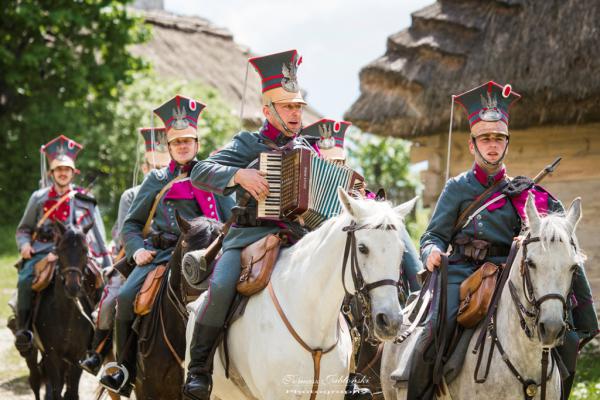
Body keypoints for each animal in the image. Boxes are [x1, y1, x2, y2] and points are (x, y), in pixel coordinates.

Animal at [24, 222, 102, 400]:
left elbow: (71, 392)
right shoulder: (52, 356)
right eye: (61, 250)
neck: (66, 316)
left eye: (85, 250)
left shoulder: (78, 357)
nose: (72, 287)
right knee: (36, 380)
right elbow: (56, 391)